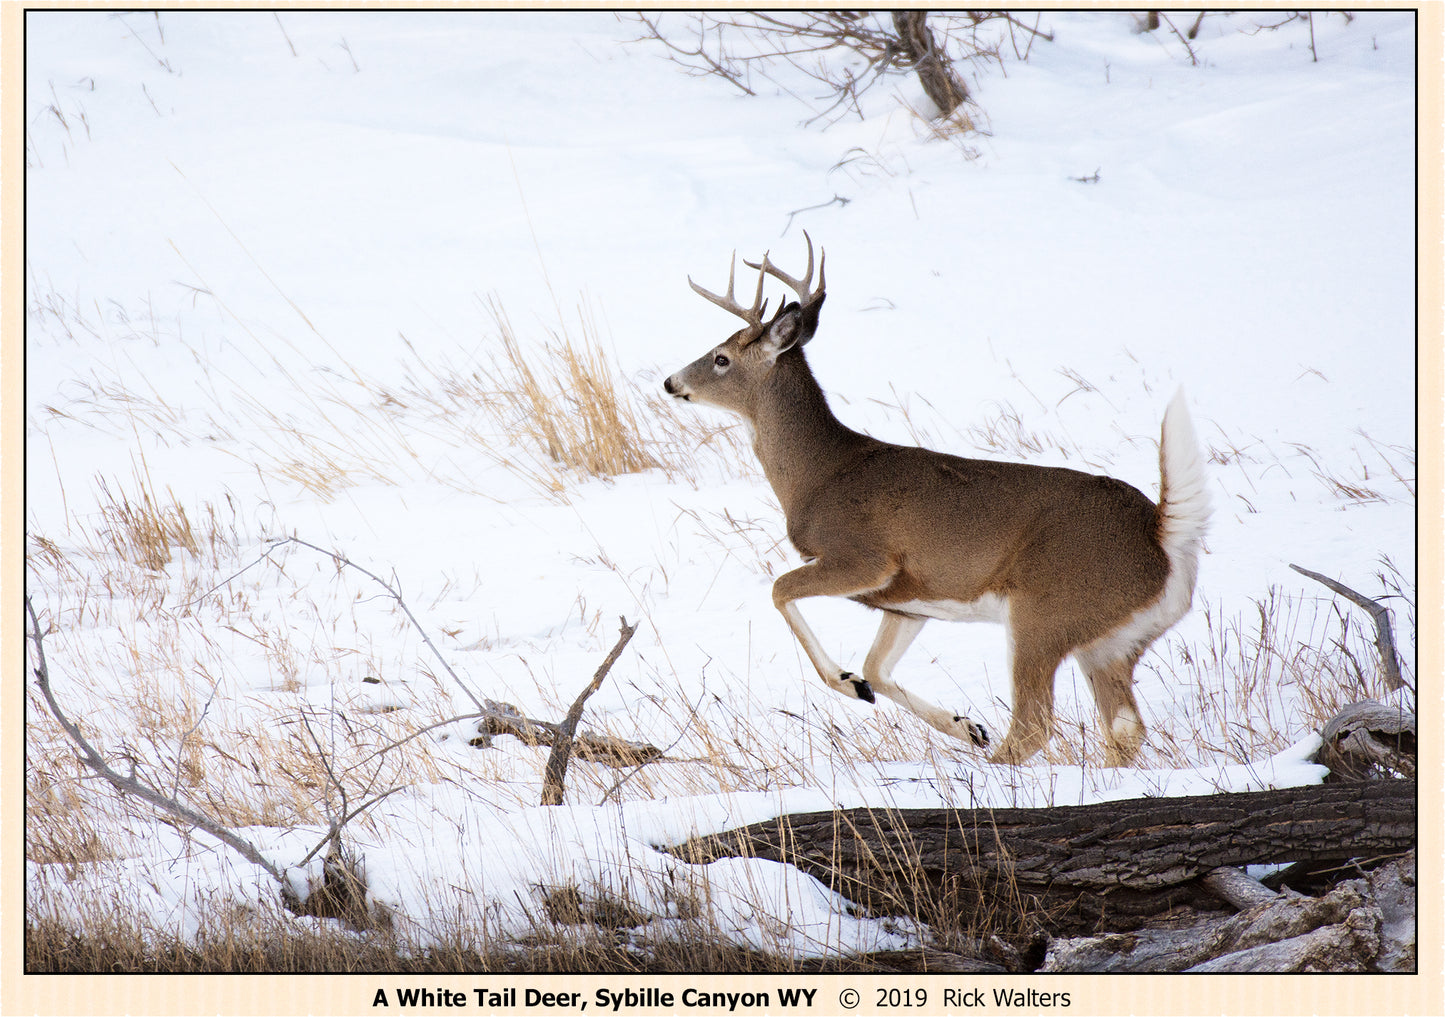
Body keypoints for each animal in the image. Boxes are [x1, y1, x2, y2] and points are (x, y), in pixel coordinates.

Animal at [663, 234, 1211, 766]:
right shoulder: (909, 599)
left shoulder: (865, 557)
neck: (819, 476)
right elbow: (878, 668)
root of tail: (1160, 536)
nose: (671, 382)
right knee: (1124, 729)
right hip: (1109, 641)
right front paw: (962, 724)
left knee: (1035, 725)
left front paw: (848, 683)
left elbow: (780, 590)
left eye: (720, 358)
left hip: (1046, 611)